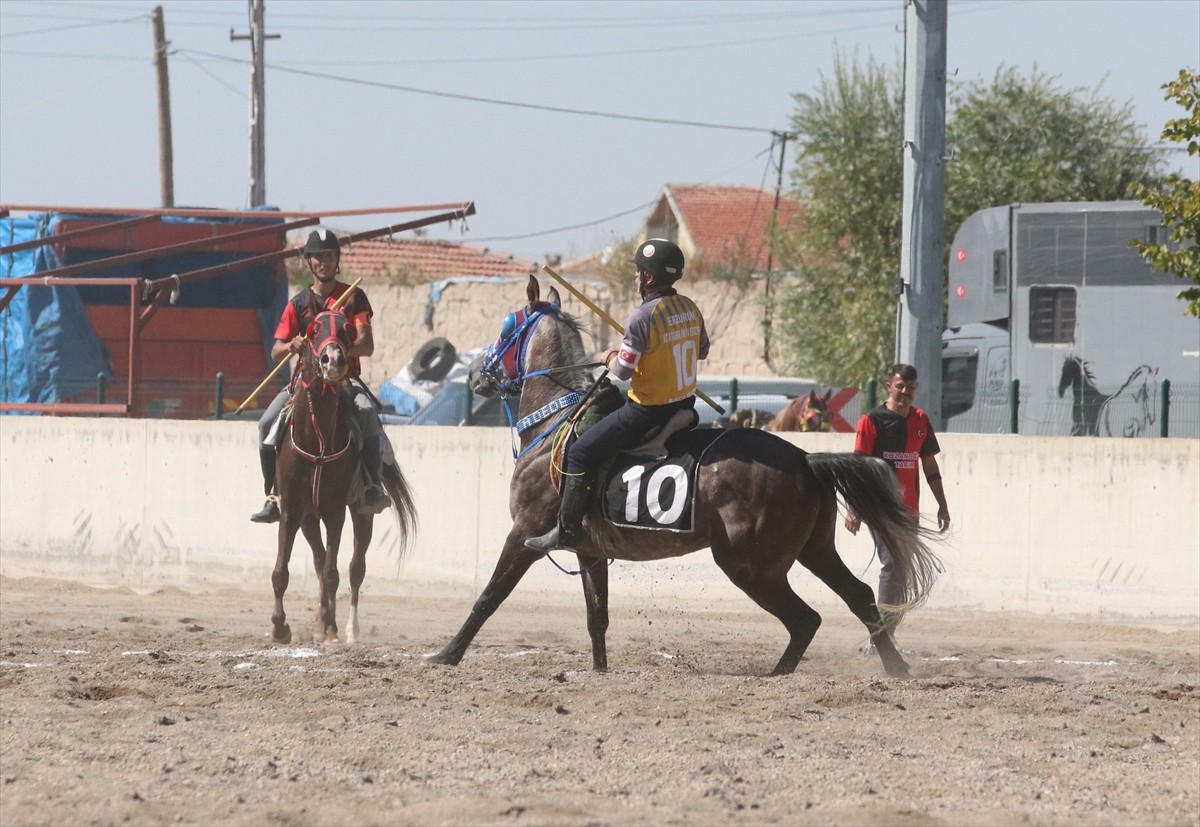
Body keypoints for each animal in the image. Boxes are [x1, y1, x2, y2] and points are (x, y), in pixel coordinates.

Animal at [272, 309, 417, 643]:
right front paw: (279, 626)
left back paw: (348, 629)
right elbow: (282, 571)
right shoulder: (291, 509)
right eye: (313, 330)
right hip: (308, 518)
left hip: (362, 513)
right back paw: (320, 622)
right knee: (319, 560)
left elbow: (333, 572)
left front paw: (332, 631)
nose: (333, 360)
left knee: (353, 569)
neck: (318, 441)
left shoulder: (336, 510)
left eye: (348, 329)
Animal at [427, 277, 940, 676]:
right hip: (813, 550)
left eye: (505, 327)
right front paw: (599, 670)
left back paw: (778, 673)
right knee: (859, 597)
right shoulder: (589, 550)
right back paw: (895, 666)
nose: (475, 375)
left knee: (805, 619)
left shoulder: (525, 533)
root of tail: (804, 459)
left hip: (749, 565)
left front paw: (446, 654)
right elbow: (597, 617)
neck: (557, 418)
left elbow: (489, 596)